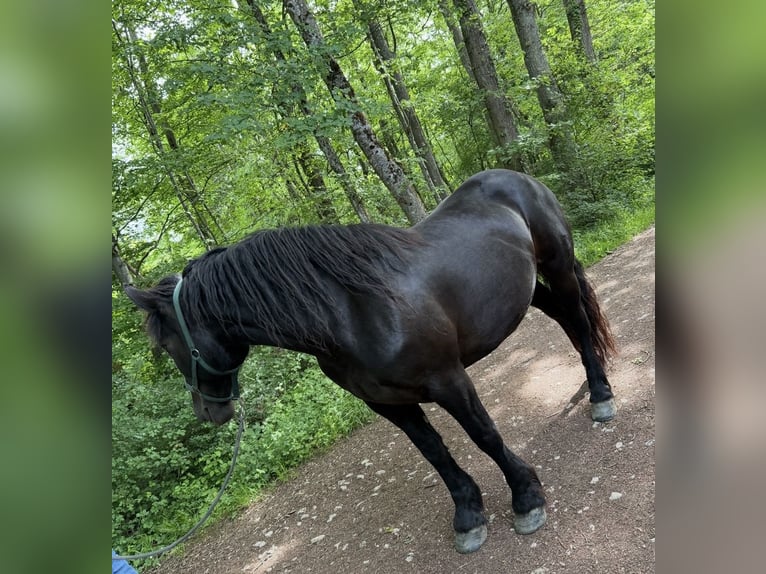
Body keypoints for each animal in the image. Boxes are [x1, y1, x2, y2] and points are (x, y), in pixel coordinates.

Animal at [125, 168, 616, 554]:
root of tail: (517, 178)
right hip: (527, 289)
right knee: (569, 323)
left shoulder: (449, 381)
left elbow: (485, 436)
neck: (352, 312)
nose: (208, 412)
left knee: (579, 322)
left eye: (169, 347)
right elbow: (435, 453)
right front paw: (468, 517)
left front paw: (526, 498)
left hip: (558, 265)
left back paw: (601, 395)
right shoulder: (388, 403)